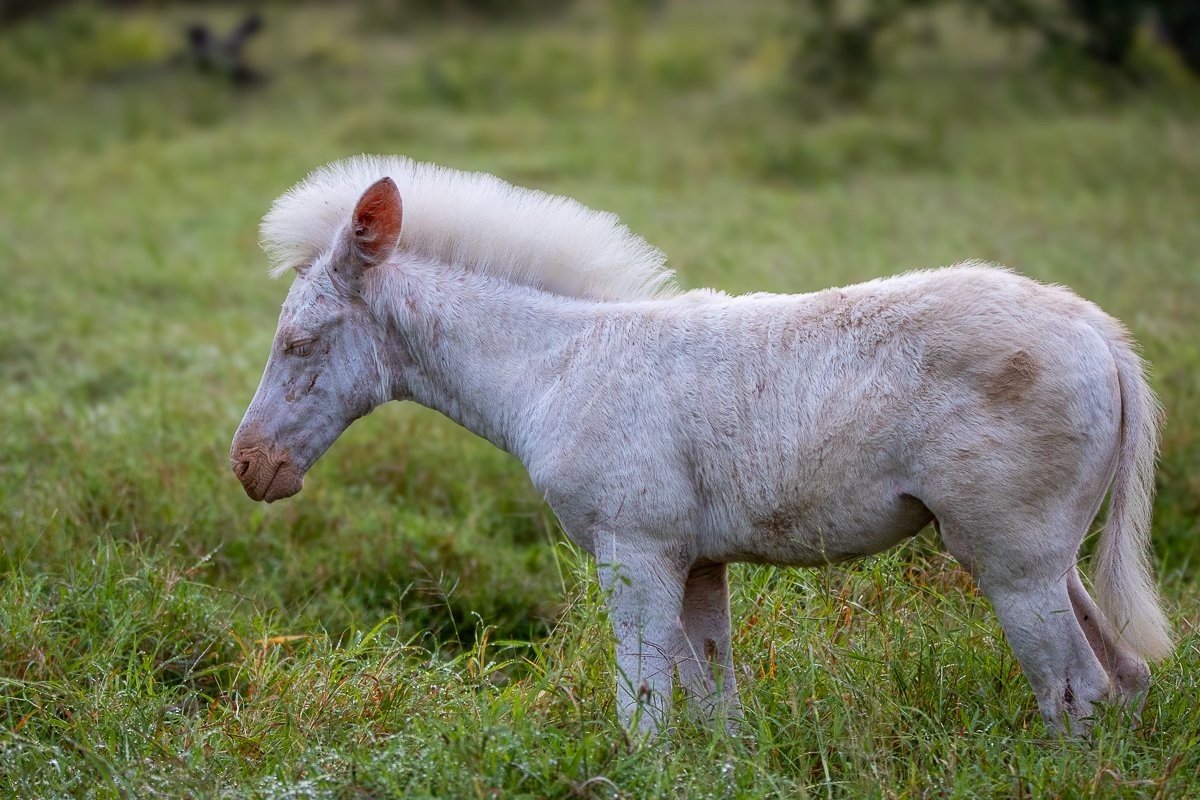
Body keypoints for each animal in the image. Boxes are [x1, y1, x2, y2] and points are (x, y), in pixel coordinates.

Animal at [230, 155, 1172, 736]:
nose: (250, 468)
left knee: (1075, 690)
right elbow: (717, 711)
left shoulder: (634, 550)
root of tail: (1099, 334)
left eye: (299, 343)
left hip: (1010, 559)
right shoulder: (699, 563)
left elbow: (642, 708)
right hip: (1046, 557)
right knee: (1124, 680)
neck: (558, 368)